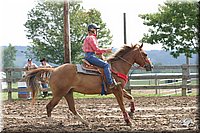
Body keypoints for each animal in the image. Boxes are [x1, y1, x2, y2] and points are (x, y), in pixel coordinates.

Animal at [25, 43, 153, 126]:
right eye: (145, 54)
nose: (150, 66)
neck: (117, 67)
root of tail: (54, 70)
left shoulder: (121, 89)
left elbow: (131, 97)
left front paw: (132, 112)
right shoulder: (117, 90)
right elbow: (121, 105)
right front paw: (128, 121)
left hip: (68, 93)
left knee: (72, 108)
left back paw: (86, 123)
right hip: (59, 94)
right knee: (49, 106)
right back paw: (51, 124)